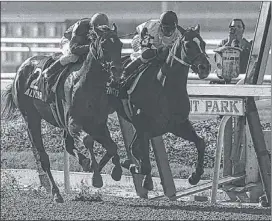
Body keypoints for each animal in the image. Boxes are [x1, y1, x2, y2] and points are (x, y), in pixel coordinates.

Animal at [1, 24, 123, 202]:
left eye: (120, 45)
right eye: (104, 45)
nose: (118, 71)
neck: (86, 83)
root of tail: (20, 69)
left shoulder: (98, 123)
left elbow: (112, 146)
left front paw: (113, 171)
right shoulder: (73, 122)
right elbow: (87, 139)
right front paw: (96, 176)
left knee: (67, 145)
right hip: (31, 117)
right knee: (43, 156)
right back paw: (56, 192)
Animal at [110, 24, 210, 193]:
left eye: (203, 43)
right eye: (188, 45)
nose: (205, 68)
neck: (165, 88)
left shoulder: (177, 125)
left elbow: (200, 143)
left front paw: (195, 176)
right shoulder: (144, 127)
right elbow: (142, 161)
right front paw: (131, 166)